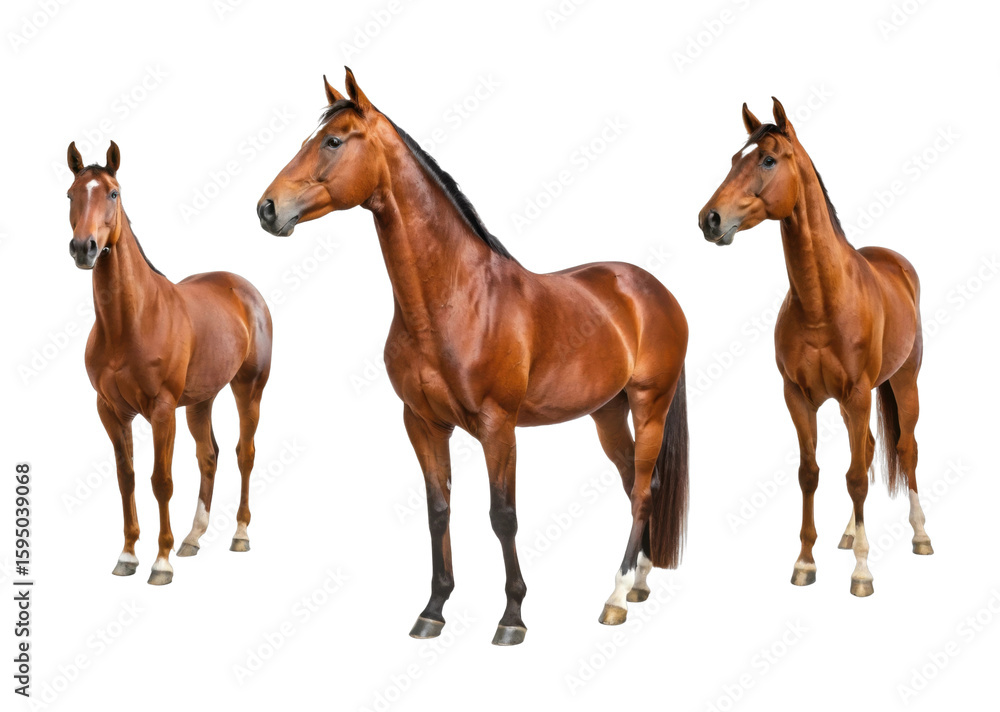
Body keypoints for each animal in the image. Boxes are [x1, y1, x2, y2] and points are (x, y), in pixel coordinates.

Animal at [66, 141, 273, 585]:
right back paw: (193, 538)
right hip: (200, 402)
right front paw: (128, 555)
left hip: (248, 389)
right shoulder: (111, 411)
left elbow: (161, 481)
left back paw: (240, 534)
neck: (129, 322)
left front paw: (160, 562)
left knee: (244, 453)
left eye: (113, 193)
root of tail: (244, 289)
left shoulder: (162, 411)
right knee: (209, 455)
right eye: (71, 194)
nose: (83, 248)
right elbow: (126, 478)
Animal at [256, 69, 689, 644]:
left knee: (642, 491)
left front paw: (512, 617)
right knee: (636, 486)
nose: (267, 208)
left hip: (649, 406)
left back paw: (615, 598)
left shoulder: (497, 426)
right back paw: (637, 583)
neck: (453, 299)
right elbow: (438, 510)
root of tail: (652, 290)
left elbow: (502, 515)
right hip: (608, 414)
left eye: (332, 141)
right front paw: (433, 609)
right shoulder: (421, 423)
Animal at [697, 98, 933, 597]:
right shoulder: (799, 397)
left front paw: (862, 573)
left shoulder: (858, 394)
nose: (709, 219)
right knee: (868, 447)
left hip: (904, 383)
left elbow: (857, 478)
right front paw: (805, 562)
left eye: (768, 159)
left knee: (906, 449)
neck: (822, 302)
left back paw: (920, 535)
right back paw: (848, 534)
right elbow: (812, 474)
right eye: (734, 159)